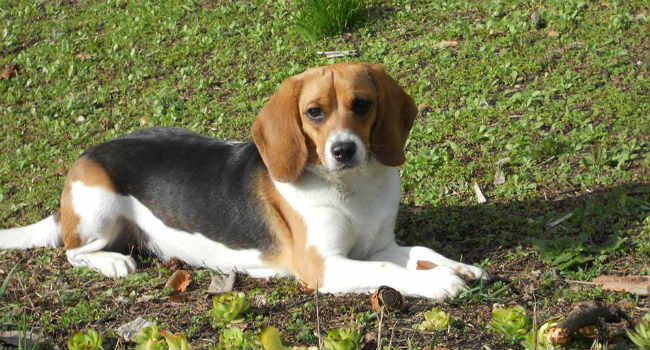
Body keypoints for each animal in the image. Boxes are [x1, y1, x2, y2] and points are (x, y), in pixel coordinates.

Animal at [0, 62, 484, 298]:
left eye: (362, 104)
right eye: (314, 112)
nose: (343, 150)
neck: (352, 188)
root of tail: (88, 155)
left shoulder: (379, 245)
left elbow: (417, 253)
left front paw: (456, 265)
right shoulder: (325, 265)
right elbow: (388, 271)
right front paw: (438, 282)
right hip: (97, 210)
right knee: (73, 252)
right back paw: (113, 262)